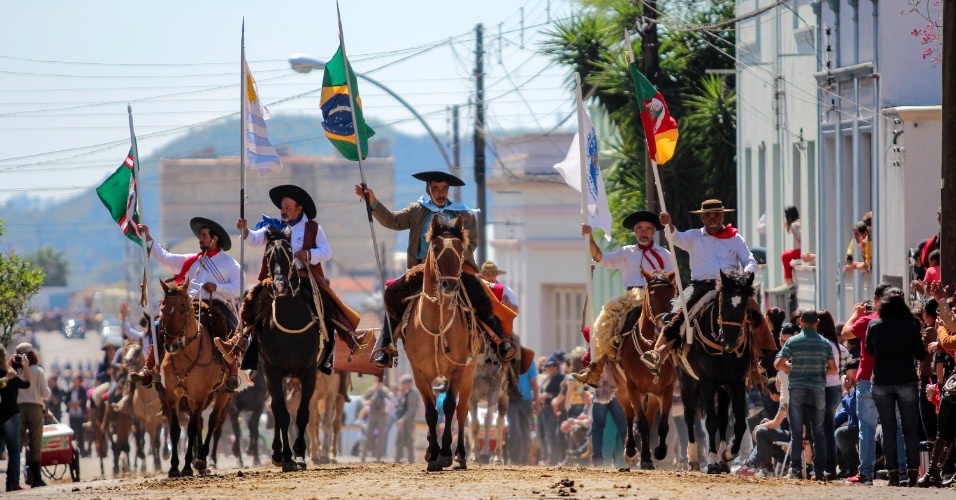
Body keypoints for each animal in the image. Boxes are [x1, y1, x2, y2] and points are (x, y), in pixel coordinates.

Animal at [157, 280, 233, 478]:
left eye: (183, 309)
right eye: (163, 307)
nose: (170, 345)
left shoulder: (200, 395)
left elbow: (191, 428)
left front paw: (186, 467)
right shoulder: (172, 395)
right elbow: (175, 429)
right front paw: (174, 467)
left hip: (223, 392)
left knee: (213, 420)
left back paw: (201, 459)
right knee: (199, 421)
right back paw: (200, 462)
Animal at [402, 216, 482, 472]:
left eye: (460, 249)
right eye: (436, 248)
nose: (449, 286)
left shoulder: (457, 370)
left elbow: (448, 406)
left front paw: (445, 454)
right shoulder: (419, 373)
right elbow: (430, 412)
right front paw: (433, 453)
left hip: (469, 373)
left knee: (462, 410)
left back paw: (461, 455)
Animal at [612, 270, 680, 468]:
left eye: (672, 295)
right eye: (652, 295)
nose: (665, 325)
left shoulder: (666, 389)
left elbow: (662, 425)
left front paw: (658, 452)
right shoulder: (633, 388)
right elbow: (640, 422)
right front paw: (643, 458)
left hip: (653, 394)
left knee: (650, 421)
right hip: (622, 390)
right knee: (629, 414)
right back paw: (630, 450)